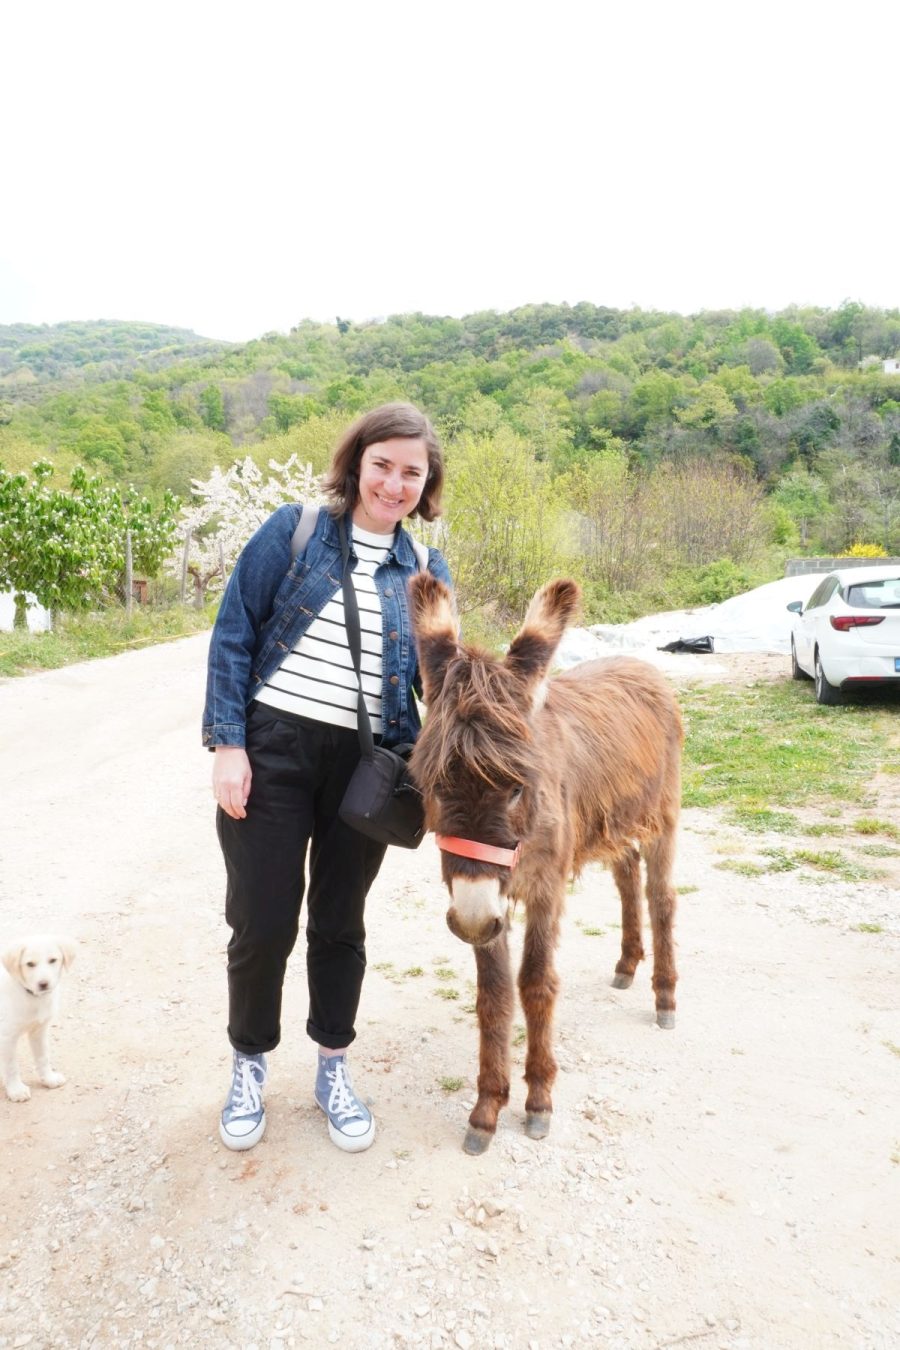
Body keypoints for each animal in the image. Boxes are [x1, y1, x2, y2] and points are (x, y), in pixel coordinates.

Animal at [0, 934, 76, 1101]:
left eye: (53, 960)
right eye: (30, 964)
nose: (43, 984)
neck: (31, 997)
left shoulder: (39, 1031)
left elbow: (43, 1057)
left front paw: (49, 1079)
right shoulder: (6, 1037)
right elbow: (11, 1066)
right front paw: (16, 1090)